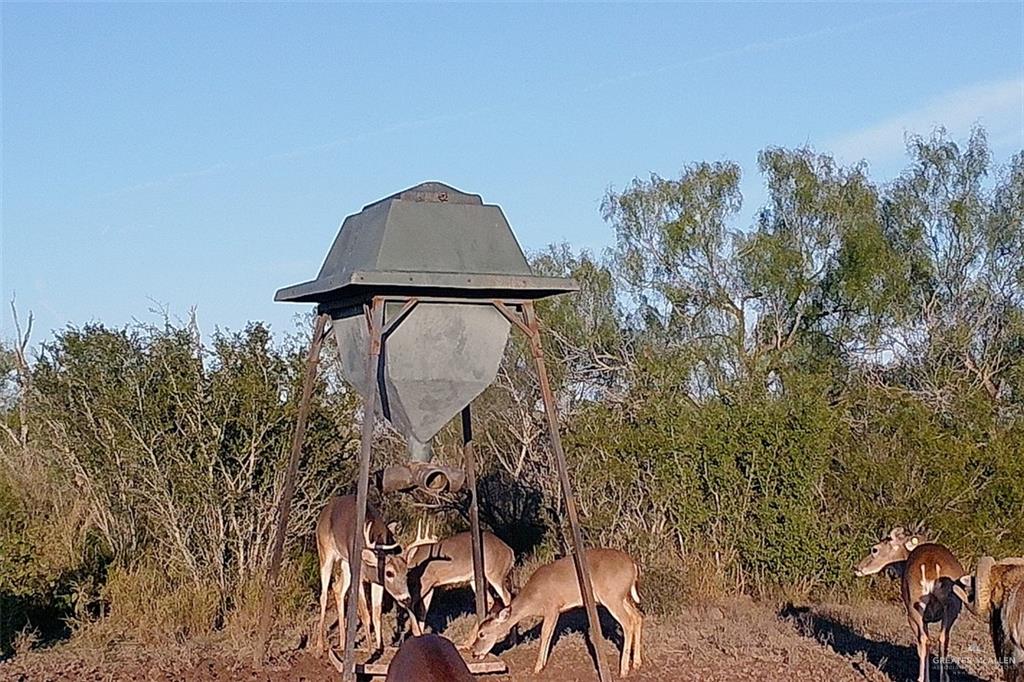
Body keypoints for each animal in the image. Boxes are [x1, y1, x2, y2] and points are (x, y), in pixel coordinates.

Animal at [311, 493, 432, 655]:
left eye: (406, 572)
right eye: (389, 573)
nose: (406, 598)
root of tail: (326, 509)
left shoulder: (376, 580)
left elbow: (376, 612)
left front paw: (380, 647)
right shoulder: (359, 575)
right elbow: (364, 612)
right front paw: (369, 648)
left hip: (345, 562)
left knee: (337, 588)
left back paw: (342, 644)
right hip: (325, 551)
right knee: (324, 595)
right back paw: (319, 646)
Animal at [468, 548, 638, 675]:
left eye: (481, 633)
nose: (474, 653)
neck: (534, 598)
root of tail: (633, 565)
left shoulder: (552, 607)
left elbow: (544, 634)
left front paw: (537, 668)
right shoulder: (556, 611)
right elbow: (549, 635)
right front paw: (543, 664)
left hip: (612, 597)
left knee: (628, 622)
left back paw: (623, 670)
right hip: (623, 597)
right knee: (637, 617)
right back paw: (636, 663)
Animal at [856, 524, 966, 679]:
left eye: (874, 549)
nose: (857, 567)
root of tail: (932, 567)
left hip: (914, 606)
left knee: (924, 639)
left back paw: (920, 678)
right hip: (952, 605)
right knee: (943, 638)